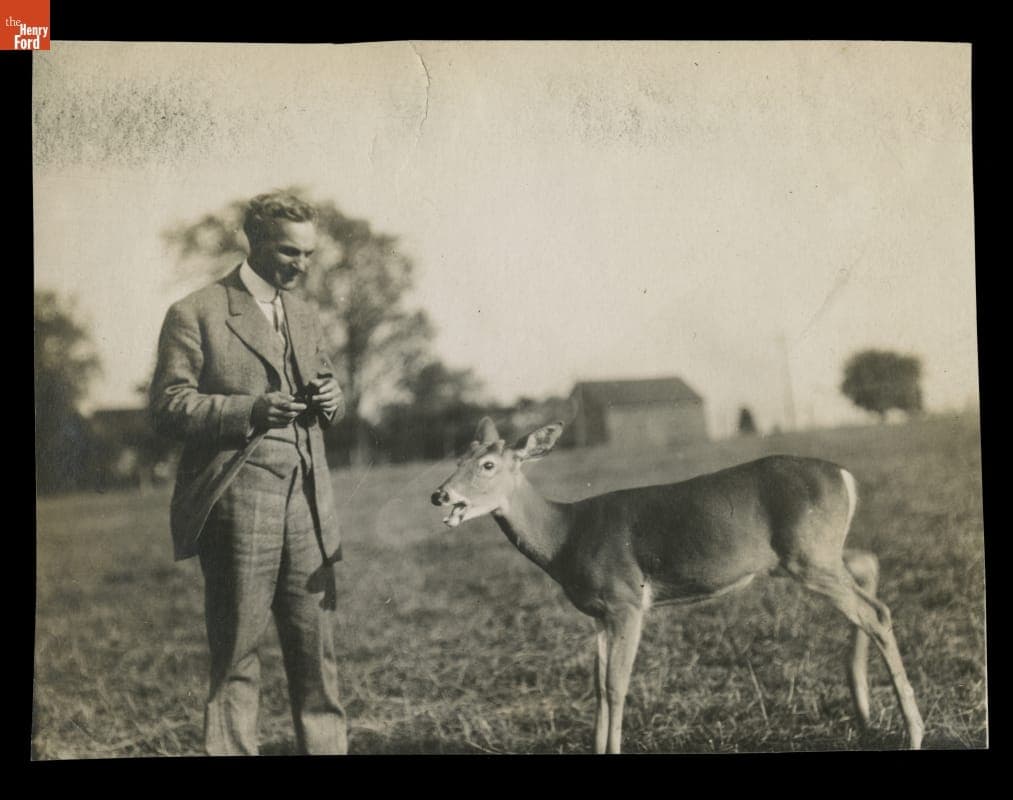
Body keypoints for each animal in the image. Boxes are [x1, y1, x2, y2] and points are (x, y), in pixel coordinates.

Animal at [430, 418, 924, 753]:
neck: (565, 536)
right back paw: (864, 711)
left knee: (876, 611)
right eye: (457, 460)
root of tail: (846, 477)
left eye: (488, 464)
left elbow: (616, 686)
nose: (440, 495)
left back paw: (913, 730)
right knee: (870, 569)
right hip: (812, 553)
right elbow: (597, 688)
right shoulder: (598, 614)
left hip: (809, 555)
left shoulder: (626, 600)